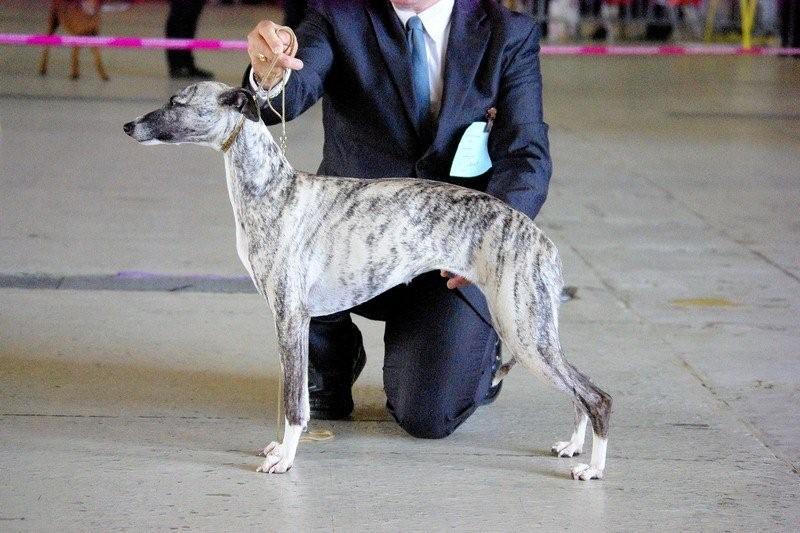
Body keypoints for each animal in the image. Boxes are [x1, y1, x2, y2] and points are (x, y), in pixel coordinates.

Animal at [123, 82, 612, 480]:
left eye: (176, 102)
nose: (128, 126)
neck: (273, 190)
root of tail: (542, 241)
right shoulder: (293, 321)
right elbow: (295, 399)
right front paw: (281, 446)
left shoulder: (290, 316)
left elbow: (294, 403)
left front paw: (285, 458)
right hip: (532, 331)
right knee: (580, 392)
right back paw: (573, 447)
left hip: (523, 332)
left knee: (596, 396)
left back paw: (593, 467)